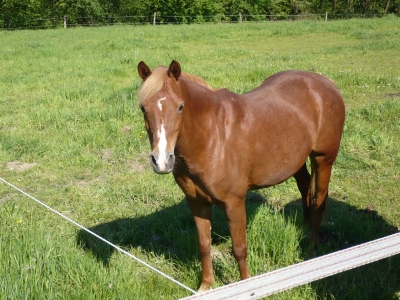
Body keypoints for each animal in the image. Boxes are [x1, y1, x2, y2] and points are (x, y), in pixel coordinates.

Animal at [136, 59, 346, 292]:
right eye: (143, 107)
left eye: (180, 106)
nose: (162, 161)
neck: (212, 137)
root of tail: (325, 82)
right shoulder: (197, 202)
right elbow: (204, 245)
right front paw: (206, 285)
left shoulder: (234, 203)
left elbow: (239, 249)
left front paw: (246, 285)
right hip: (296, 160)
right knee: (305, 187)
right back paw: (303, 229)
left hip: (323, 159)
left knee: (318, 198)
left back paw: (311, 249)